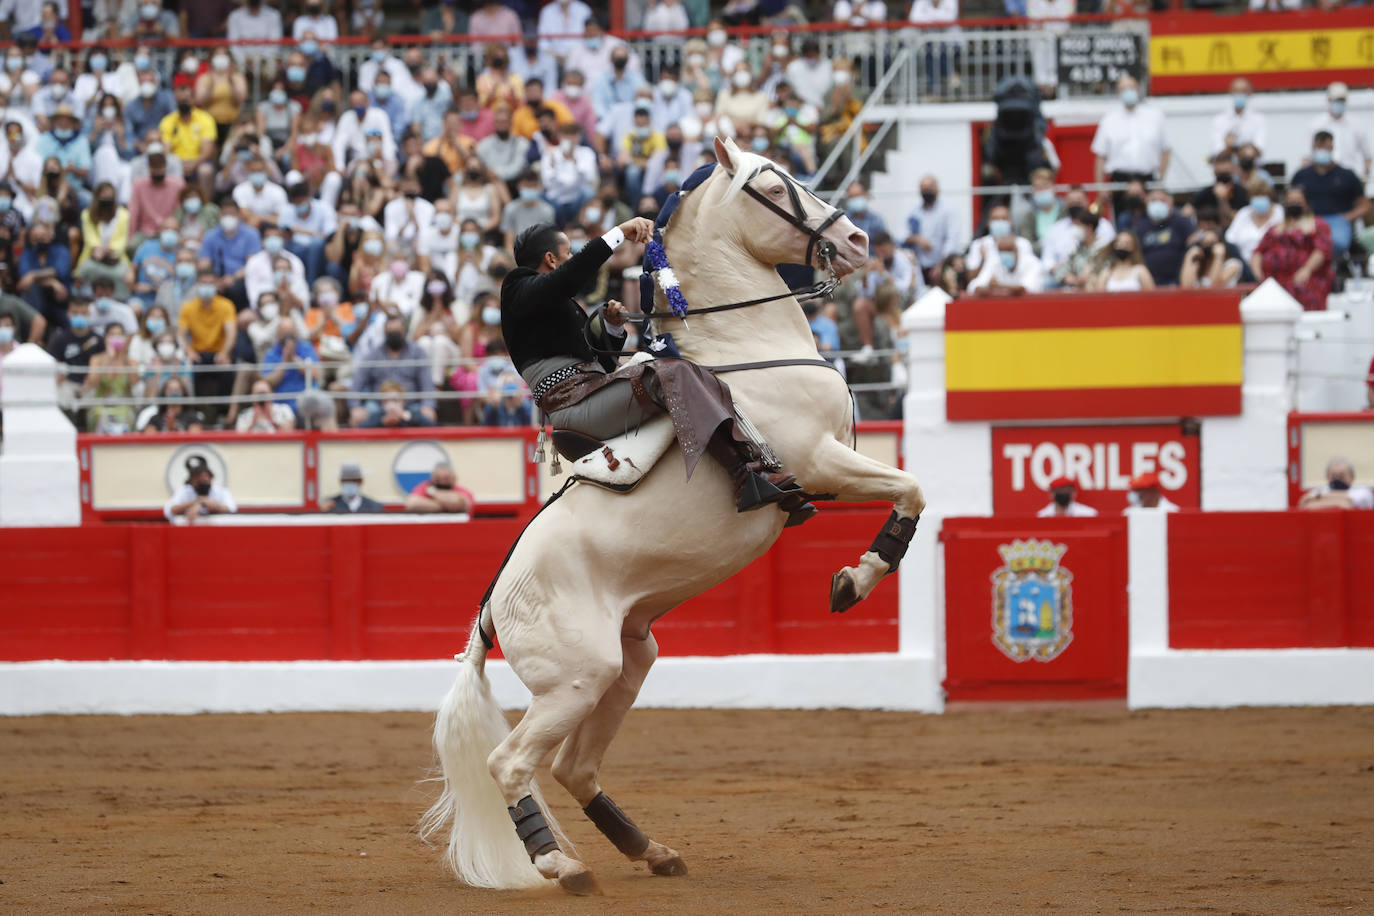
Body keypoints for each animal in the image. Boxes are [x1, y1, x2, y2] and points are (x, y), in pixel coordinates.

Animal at [423, 138, 928, 895]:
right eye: (772, 186)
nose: (857, 240)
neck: (747, 348)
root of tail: (491, 607)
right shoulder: (821, 460)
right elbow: (914, 489)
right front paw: (854, 580)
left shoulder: (840, 462)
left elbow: (911, 489)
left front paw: (851, 577)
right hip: (577, 676)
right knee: (511, 763)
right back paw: (563, 865)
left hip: (632, 658)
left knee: (574, 766)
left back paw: (652, 850)